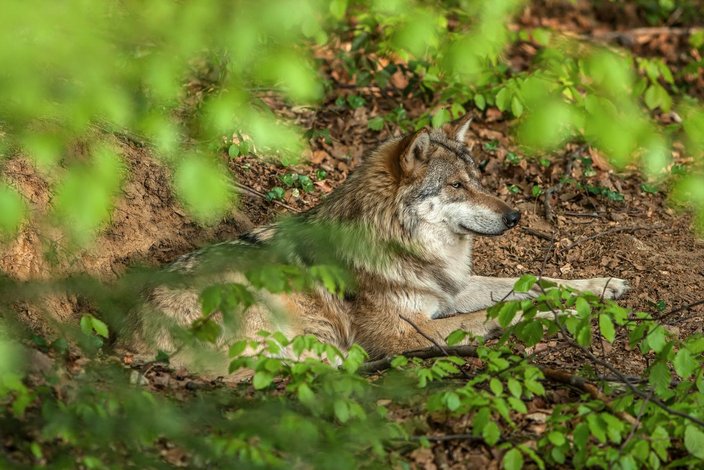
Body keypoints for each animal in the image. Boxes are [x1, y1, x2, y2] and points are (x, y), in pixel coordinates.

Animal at [122, 114, 629, 368]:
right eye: (456, 186)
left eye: (479, 180)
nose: (515, 216)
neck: (402, 245)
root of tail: (130, 332)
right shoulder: (407, 330)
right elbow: (501, 311)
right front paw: (564, 314)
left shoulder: (450, 292)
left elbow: (534, 280)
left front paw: (601, 287)